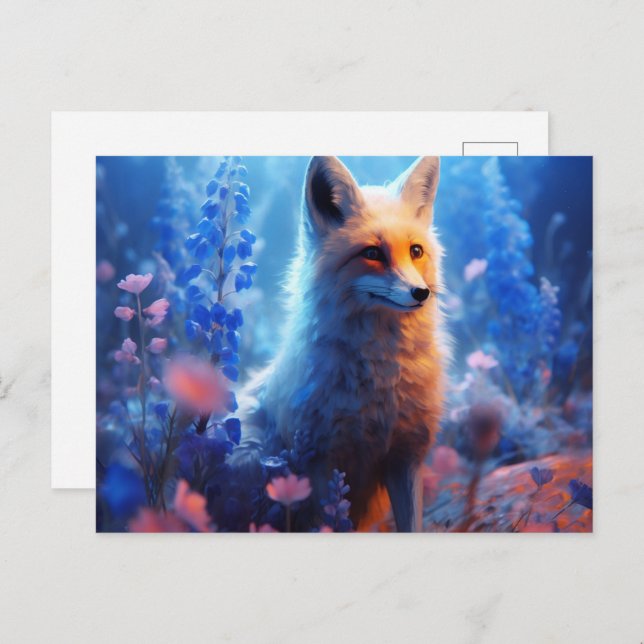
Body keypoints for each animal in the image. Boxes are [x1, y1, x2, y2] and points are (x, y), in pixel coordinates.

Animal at [234, 156, 447, 532]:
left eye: (416, 251)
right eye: (373, 253)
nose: (421, 293)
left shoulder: (406, 457)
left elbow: (412, 524)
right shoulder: (323, 463)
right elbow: (329, 522)